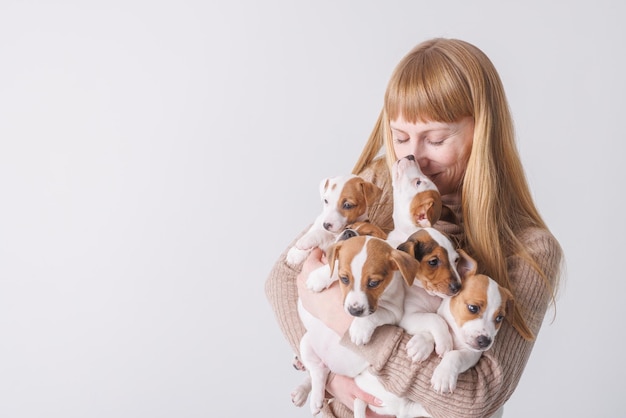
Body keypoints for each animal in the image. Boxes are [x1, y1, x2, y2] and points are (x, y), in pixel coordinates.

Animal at [292, 235, 420, 414]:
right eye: (344, 279)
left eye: (374, 283)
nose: (354, 311)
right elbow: (334, 264)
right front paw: (319, 277)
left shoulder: (393, 312)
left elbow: (374, 315)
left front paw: (359, 330)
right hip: (306, 343)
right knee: (317, 371)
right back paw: (313, 397)